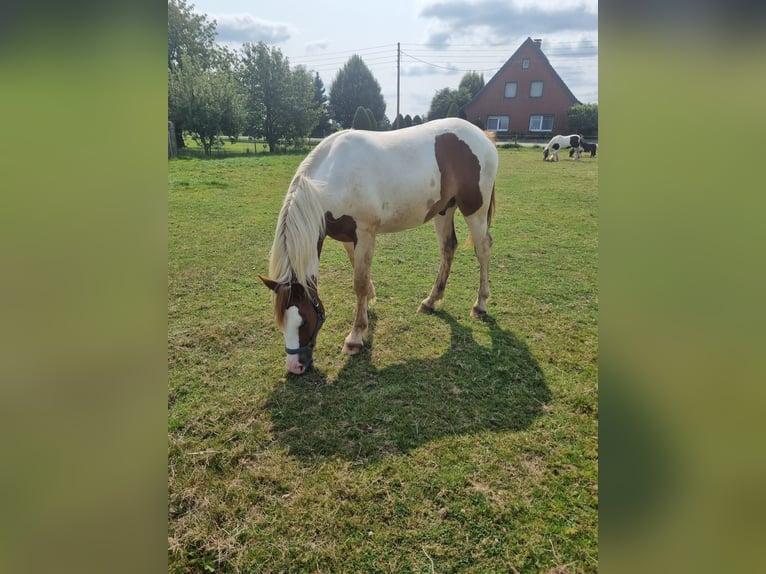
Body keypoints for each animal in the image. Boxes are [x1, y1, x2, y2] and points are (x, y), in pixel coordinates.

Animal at [260, 118, 500, 378]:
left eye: (303, 319)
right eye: (281, 321)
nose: (295, 367)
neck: (333, 177)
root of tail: (483, 135)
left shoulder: (365, 233)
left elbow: (359, 282)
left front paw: (355, 337)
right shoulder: (347, 237)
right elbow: (360, 276)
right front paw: (367, 306)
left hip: (474, 210)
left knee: (483, 249)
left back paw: (480, 304)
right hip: (444, 210)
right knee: (448, 249)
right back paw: (431, 301)